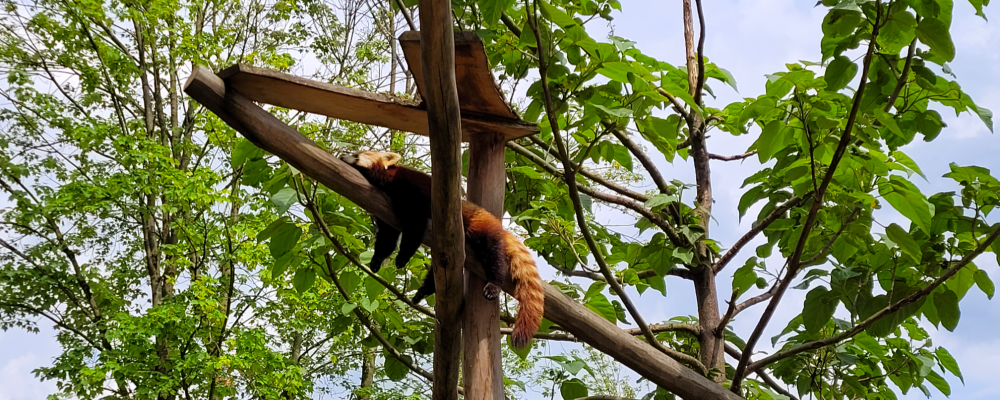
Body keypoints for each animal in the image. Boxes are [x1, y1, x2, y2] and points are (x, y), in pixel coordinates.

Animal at [344, 150, 548, 346]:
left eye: (357, 154)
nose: (342, 154)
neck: (389, 181)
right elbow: (387, 237)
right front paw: (377, 260)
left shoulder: (414, 189)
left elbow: (415, 228)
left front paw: (402, 257)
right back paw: (423, 291)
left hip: (481, 229)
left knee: (494, 257)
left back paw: (493, 284)